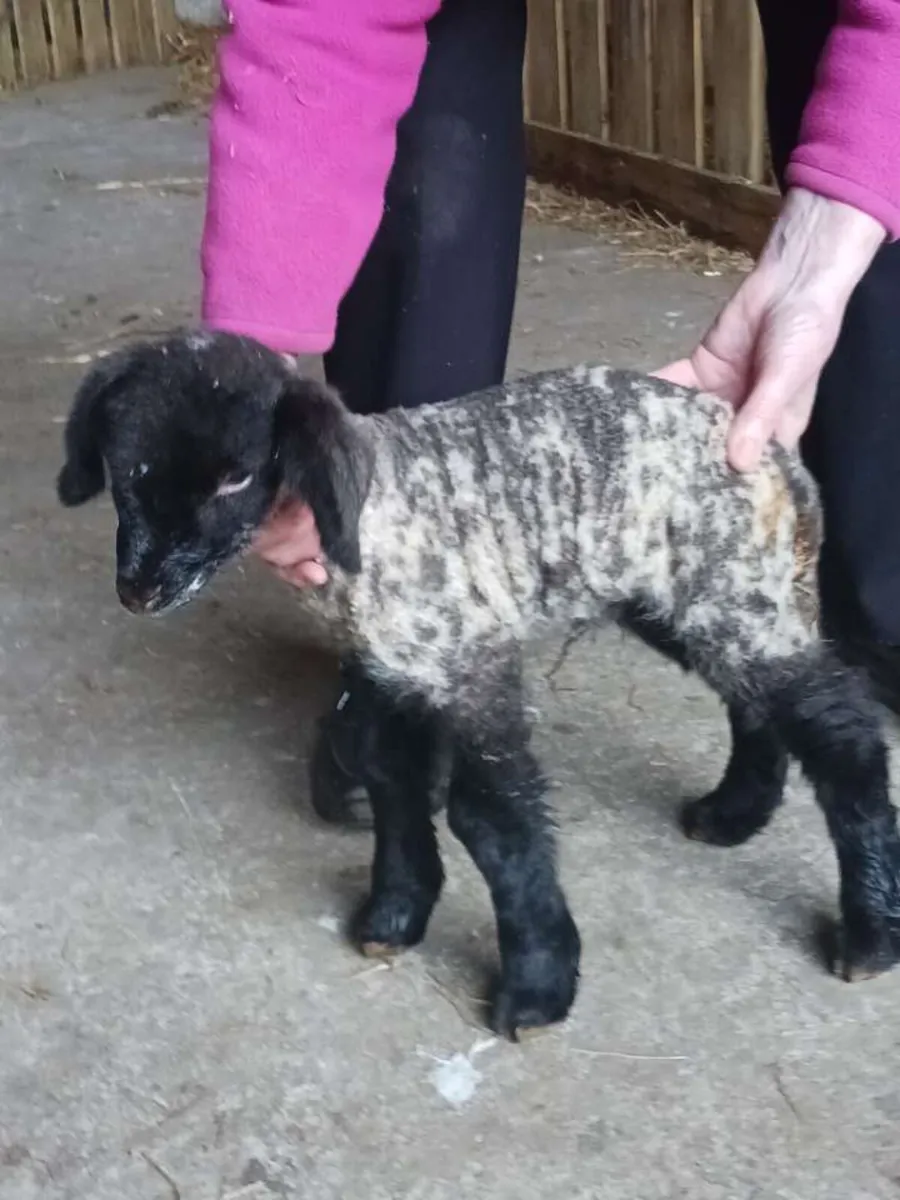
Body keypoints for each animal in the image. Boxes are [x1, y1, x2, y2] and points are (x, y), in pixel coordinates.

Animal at [56, 328, 900, 1041]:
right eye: (124, 470)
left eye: (236, 476)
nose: (140, 589)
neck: (376, 521)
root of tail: (780, 461)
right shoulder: (394, 673)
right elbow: (388, 779)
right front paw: (394, 915)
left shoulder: (476, 665)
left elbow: (492, 819)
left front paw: (538, 986)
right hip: (691, 598)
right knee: (754, 702)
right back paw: (731, 815)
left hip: (739, 588)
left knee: (844, 737)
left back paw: (870, 932)